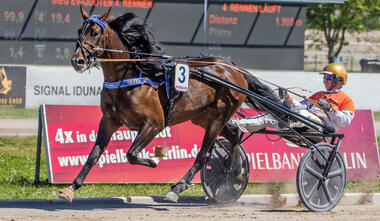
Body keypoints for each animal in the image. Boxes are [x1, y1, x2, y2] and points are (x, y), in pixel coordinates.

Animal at [59, 7, 284, 203]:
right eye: (79, 31)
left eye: (95, 32)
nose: (77, 61)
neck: (130, 78)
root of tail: (233, 68)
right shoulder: (109, 120)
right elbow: (93, 155)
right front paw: (71, 188)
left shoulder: (154, 124)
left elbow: (131, 154)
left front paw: (156, 158)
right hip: (204, 117)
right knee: (234, 135)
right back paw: (236, 170)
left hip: (220, 114)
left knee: (204, 154)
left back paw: (178, 187)